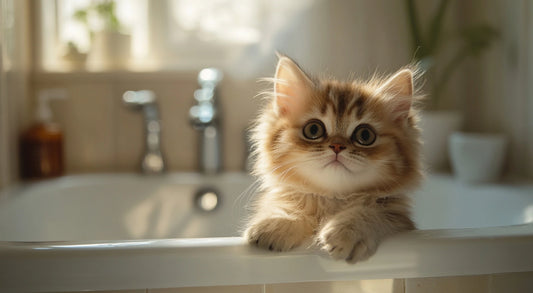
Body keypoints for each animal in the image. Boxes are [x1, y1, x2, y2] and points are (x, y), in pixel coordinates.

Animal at [243, 54, 422, 262]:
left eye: (365, 135)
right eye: (313, 129)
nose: (337, 146)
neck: (333, 200)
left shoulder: (400, 220)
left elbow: (372, 212)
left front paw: (347, 231)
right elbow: (290, 207)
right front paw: (279, 222)